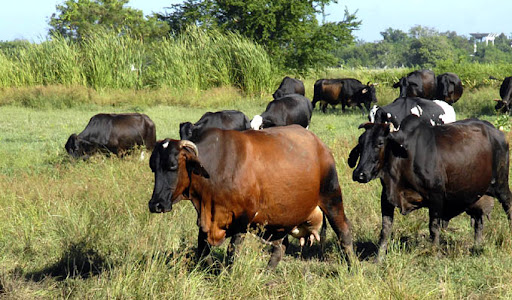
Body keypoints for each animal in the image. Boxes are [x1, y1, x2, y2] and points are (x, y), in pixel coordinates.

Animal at [149, 125, 352, 268]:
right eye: (153, 167)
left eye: (173, 166)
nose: (156, 204)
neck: (217, 167)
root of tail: (319, 144)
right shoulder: (206, 220)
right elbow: (203, 252)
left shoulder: (242, 219)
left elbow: (232, 251)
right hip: (280, 221)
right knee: (280, 247)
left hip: (331, 196)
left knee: (344, 232)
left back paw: (352, 268)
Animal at [348, 116, 512, 262]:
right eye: (360, 143)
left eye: (380, 143)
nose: (360, 174)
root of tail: (497, 133)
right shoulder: (386, 198)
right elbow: (385, 229)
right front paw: (379, 258)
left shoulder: (436, 197)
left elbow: (433, 228)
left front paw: (434, 254)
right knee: (478, 222)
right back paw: (476, 247)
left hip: (501, 184)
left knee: (508, 206)